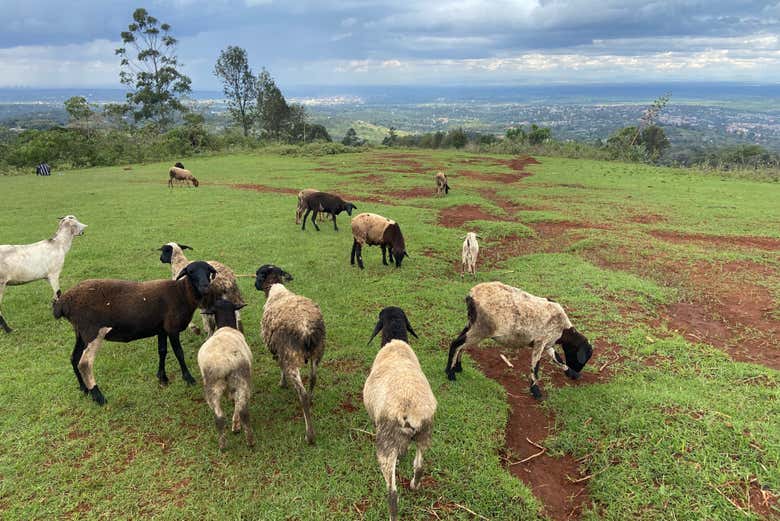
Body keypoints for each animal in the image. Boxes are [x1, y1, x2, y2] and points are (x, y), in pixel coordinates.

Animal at [52, 258, 216, 402]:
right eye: (190, 272)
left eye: (208, 271)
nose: (205, 286)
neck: (181, 293)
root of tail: (63, 302)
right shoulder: (172, 327)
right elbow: (179, 353)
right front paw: (188, 378)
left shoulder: (161, 329)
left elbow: (162, 351)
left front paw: (162, 377)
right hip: (92, 331)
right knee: (84, 364)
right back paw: (99, 397)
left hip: (80, 332)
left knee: (74, 358)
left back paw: (84, 389)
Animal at [198, 298, 253, 448]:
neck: (226, 326)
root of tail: (225, 362)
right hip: (241, 381)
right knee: (241, 410)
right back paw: (244, 437)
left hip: (213, 386)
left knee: (220, 417)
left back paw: (224, 444)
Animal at [256, 264, 326, 442]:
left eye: (258, 274)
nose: (255, 285)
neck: (276, 290)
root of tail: (306, 328)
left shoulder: (277, 350)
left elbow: (280, 367)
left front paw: (282, 383)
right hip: (318, 352)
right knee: (313, 378)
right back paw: (312, 398)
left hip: (291, 357)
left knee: (302, 394)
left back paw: (309, 435)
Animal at [364, 304, 436, 520]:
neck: (395, 342)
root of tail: (409, 411)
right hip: (425, 435)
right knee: (419, 466)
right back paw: (414, 485)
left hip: (385, 445)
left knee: (392, 493)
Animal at [444, 280, 592, 398]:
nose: (578, 370)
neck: (563, 330)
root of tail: (471, 295)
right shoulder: (540, 342)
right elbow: (535, 367)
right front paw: (536, 391)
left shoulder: (548, 344)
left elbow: (558, 359)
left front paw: (571, 373)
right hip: (481, 329)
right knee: (457, 344)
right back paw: (450, 374)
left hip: (472, 323)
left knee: (461, 344)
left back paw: (458, 368)